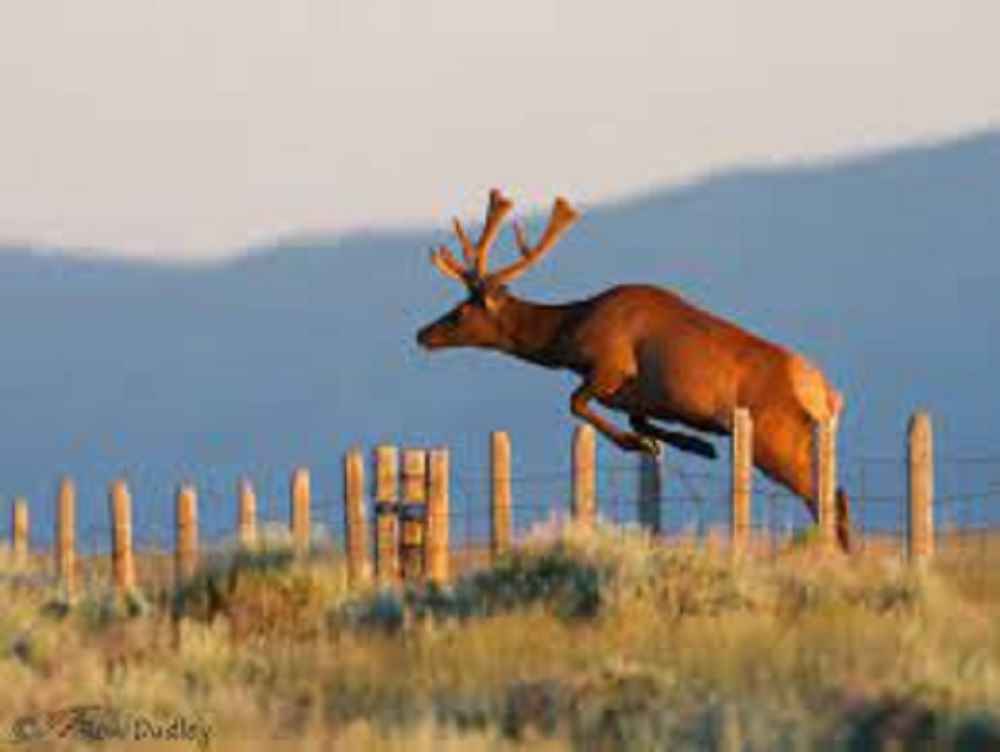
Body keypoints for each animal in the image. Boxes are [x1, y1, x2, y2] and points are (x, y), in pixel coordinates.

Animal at [416, 189, 852, 551]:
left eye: (460, 312)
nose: (422, 333)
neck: (570, 339)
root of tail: (827, 393)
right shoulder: (640, 397)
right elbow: (640, 421)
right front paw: (693, 444)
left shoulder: (611, 364)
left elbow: (576, 403)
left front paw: (643, 444)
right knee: (837, 494)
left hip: (774, 437)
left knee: (823, 498)